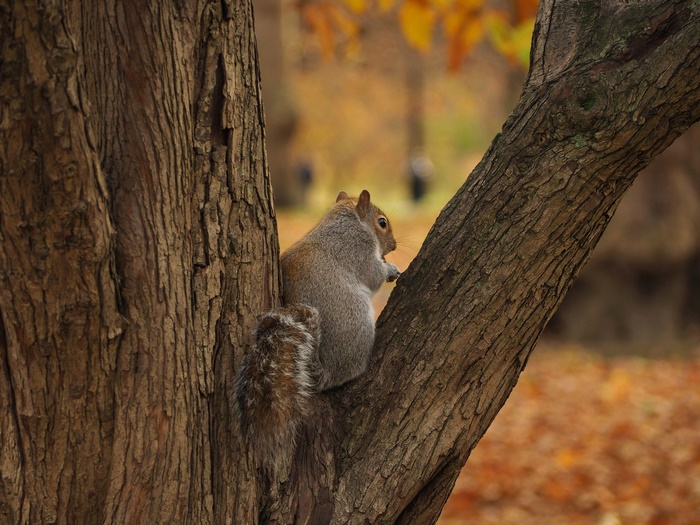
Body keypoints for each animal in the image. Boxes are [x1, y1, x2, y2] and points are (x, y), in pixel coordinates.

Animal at [234, 190, 400, 465]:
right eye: (382, 222)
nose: (395, 246)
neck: (345, 221)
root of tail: (325, 371)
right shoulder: (358, 249)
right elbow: (372, 274)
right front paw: (391, 268)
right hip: (357, 321)